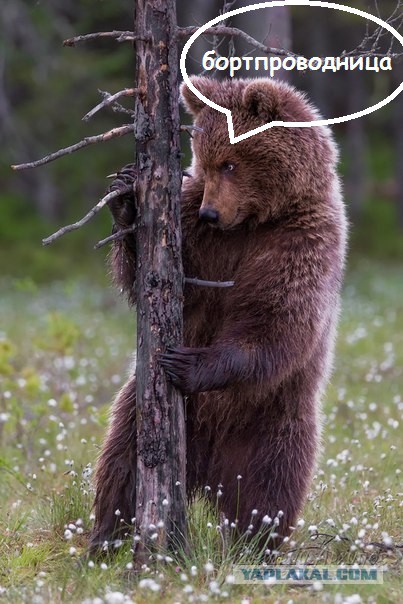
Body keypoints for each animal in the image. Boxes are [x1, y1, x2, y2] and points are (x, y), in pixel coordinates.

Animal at [90, 78, 348, 548]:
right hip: (146, 412)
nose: (212, 212)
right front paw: (127, 199)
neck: (255, 221)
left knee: (268, 491)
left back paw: (255, 545)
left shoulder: (302, 241)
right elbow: (154, 279)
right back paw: (106, 538)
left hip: (273, 421)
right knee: (123, 464)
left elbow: (278, 318)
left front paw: (188, 363)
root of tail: (207, 473)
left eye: (230, 163)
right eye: (204, 163)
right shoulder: (199, 235)